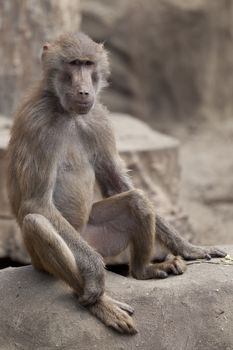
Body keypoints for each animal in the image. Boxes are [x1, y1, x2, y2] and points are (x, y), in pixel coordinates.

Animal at [6, 32, 226, 334]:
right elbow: (36, 202)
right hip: (49, 254)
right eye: (73, 64)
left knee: (137, 200)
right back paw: (100, 302)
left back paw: (144, 271)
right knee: (37, 223)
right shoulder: (37, 124)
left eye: (88, 64)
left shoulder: (99, 118)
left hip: (96, 236)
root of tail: (83, 235)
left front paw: (191, 248)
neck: (66, 111)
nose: (84, 91)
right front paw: (96, 274)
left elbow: (117, 183)